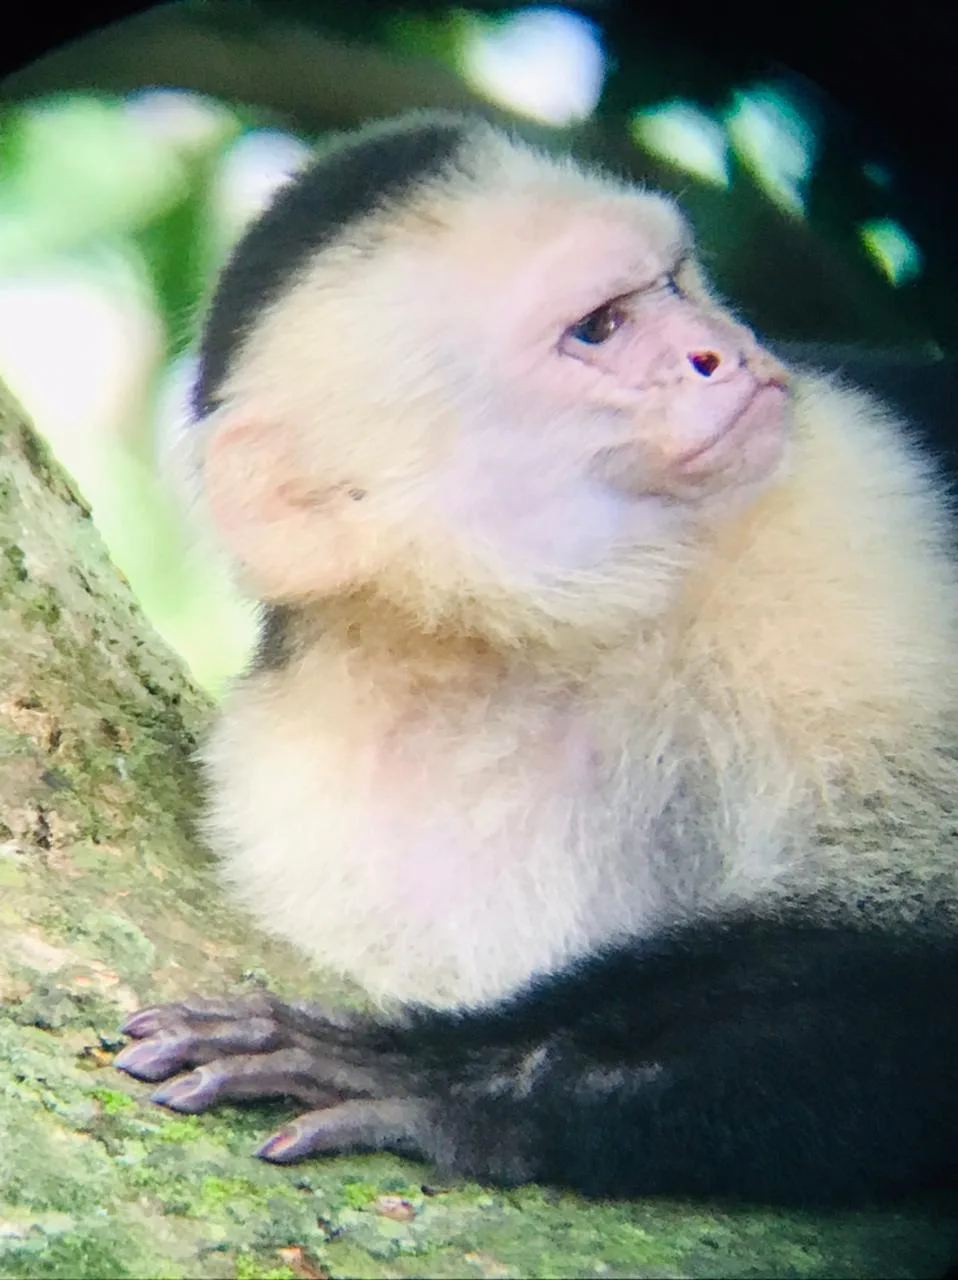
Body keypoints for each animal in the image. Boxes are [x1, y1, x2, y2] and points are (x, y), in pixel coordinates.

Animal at [116, 111, 958, 1208]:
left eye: (674, 283)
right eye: (599, 328)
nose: (719, 354)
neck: (532, 643)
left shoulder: (846, 509)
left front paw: (441, 1072)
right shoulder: (306, 802)